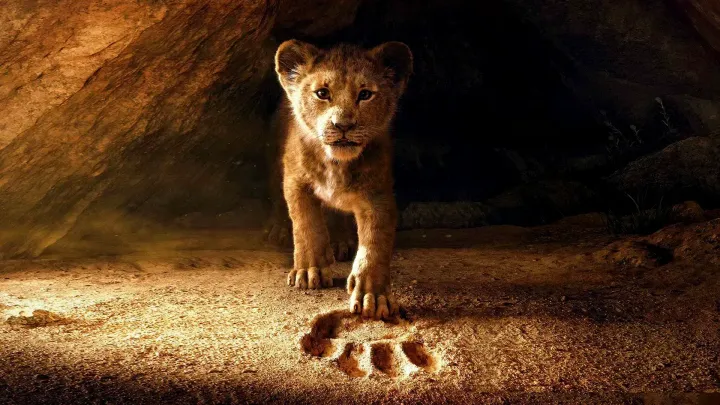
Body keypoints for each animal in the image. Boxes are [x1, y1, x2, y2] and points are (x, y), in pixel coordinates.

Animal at [270, 39, 413, 320]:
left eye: (365, 94)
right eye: (322, 93)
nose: (343, 125)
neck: (336, 163)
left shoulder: (378, 196)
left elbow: (375, 244)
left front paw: (373, 296)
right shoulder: (295, 182)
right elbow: (306, 225)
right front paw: (310, 271)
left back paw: (339, 242)